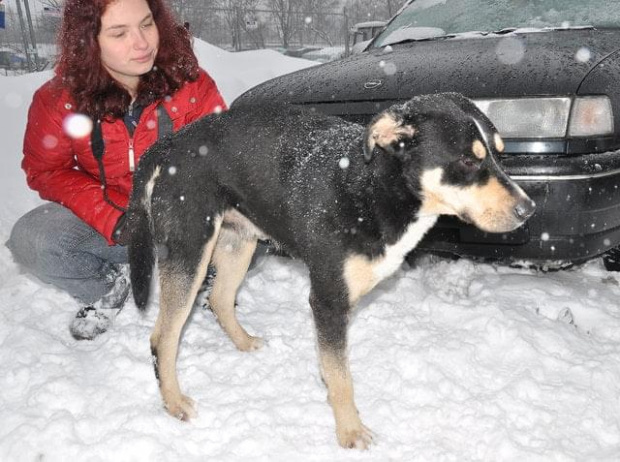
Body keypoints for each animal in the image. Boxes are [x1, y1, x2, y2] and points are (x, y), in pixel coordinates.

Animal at [123, 92, 536, 450]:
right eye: (467, 161)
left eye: (500, 156)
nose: (528, 209)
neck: (372, 188)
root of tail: (170, 142)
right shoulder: (328, 301)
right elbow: (340, 377)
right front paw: (350, 431)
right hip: (189, 251)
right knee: (164, 337)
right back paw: (174, 402)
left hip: (239, 242)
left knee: (220, 299)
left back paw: (244, 343)